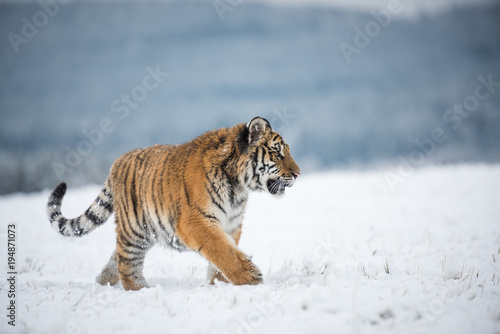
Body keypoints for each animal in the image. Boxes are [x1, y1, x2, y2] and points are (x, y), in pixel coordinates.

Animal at [46, 117, 300, 290]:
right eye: (278, 154)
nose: (298, 174)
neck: (237, 187)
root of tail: (117, 161)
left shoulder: (231, 224)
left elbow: (225, 254)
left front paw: (219, 285)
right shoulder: (195, 221)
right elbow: (222, 250)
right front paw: (250, 278)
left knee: (116, 257)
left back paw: (102, 282)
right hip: (134, 231)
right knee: (127, 265)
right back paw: (142, 290)